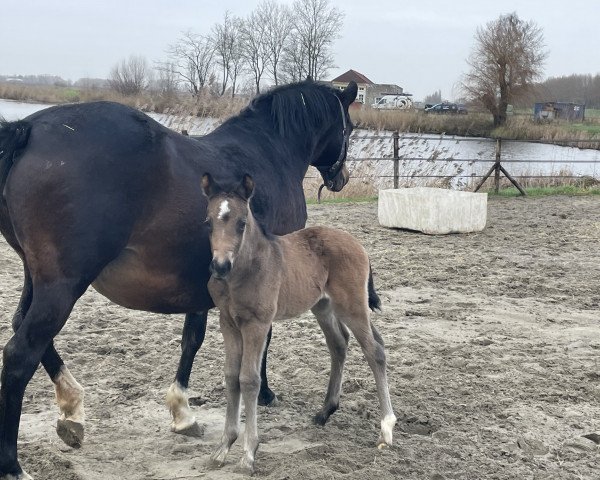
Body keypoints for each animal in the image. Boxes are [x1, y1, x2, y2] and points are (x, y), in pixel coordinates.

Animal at [0, 80, 356, 478]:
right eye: (350, 127)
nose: (340, 178)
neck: (269, 151)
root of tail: (29, 130)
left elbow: (191, 340)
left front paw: (182, 411)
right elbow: (258, 341)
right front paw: (263, 394)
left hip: (38, 277)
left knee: (20, 326)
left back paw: (72, 409)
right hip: (63, 285)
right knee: (20, 353)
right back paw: (14, 464)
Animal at [203, 174, 398, 474]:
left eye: (242, 222)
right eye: (208, 222)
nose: (220, 266)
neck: (246, 268)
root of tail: (359, 244)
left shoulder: (258, 323)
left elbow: (249, 379)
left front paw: (248, 454)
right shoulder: (228, 323)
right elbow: (231, 376)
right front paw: (223, 447)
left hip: (352, 306)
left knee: (374, 350)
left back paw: (386, 428)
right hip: (324, 306)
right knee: (340, 344)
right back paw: (325, 411)